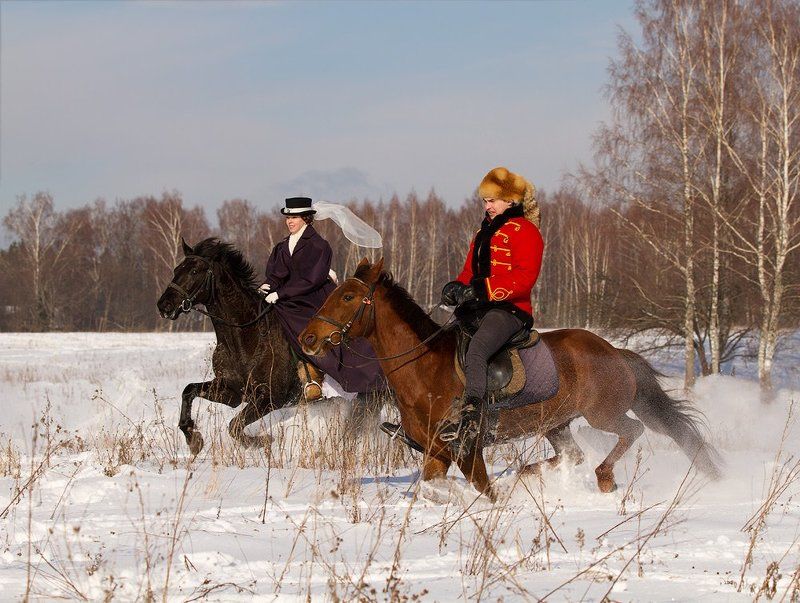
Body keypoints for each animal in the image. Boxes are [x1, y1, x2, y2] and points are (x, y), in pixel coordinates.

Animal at [156, 237, 314, 455]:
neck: (244, 341)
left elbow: (234, 425)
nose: (164, 306)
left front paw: (262, 441)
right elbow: (189, 390)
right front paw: (193, 439)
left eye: (194, 271)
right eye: (176, 269)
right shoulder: (231, 392)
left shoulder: (272, 397)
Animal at [299, 258, 721, 501]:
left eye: (349, 297)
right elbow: (431, 486)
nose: (309, 339)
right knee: (572, 453)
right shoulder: (436, 453)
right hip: (556, 423)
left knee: (631, 431)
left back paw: (603, 478)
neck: (423, 368)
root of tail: (616, 352)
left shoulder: (467, 450)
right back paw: (532, 474)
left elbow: (482, 489)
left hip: (603, 413)